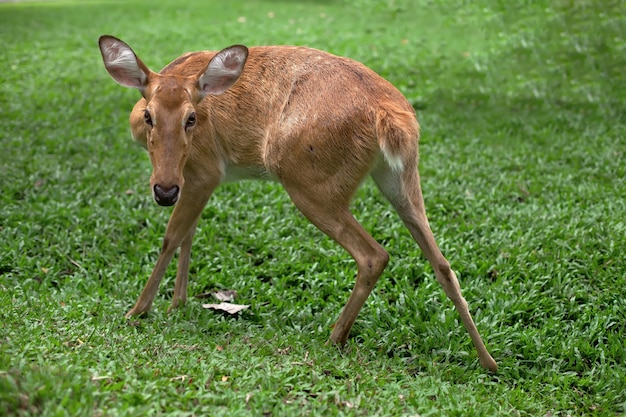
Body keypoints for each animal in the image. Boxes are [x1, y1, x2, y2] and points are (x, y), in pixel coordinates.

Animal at [98, 34, 498, 368]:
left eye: (191, 118)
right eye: (149, 116)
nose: (163, 191)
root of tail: (390, 116)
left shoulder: (206, 170)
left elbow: (171, 236)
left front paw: (138, 311)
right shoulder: (196, 177)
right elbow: (189, 234)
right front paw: (176, 303)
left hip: (309, 181)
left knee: (374, 254)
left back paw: (334, 338)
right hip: (400, 179)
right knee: (443, 264)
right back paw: (489, 363)